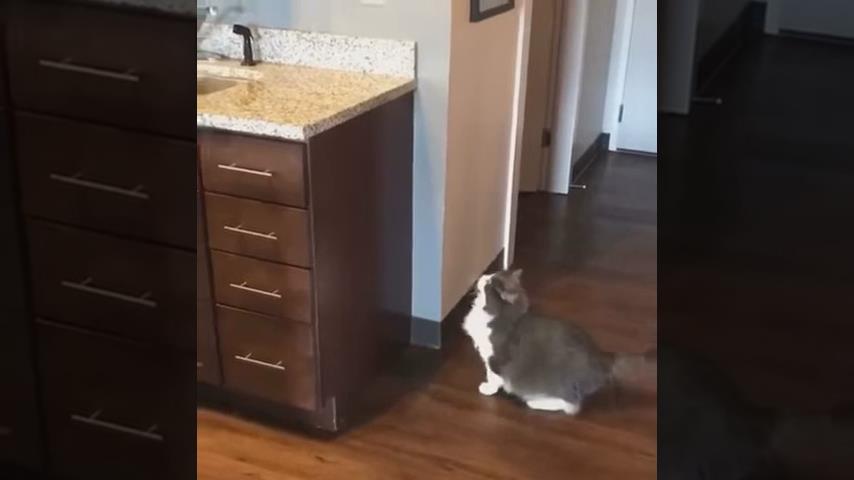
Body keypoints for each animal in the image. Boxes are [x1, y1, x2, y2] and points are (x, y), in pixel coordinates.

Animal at [462, 269, 654, 415]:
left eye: (488, 282)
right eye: (489, 276)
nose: (483, 275)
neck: (504, 317)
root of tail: (601, 356)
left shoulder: (494, 358)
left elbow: (493, 376)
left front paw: (487, 388)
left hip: (562, 384)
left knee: (572, 406)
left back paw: (534, 402)